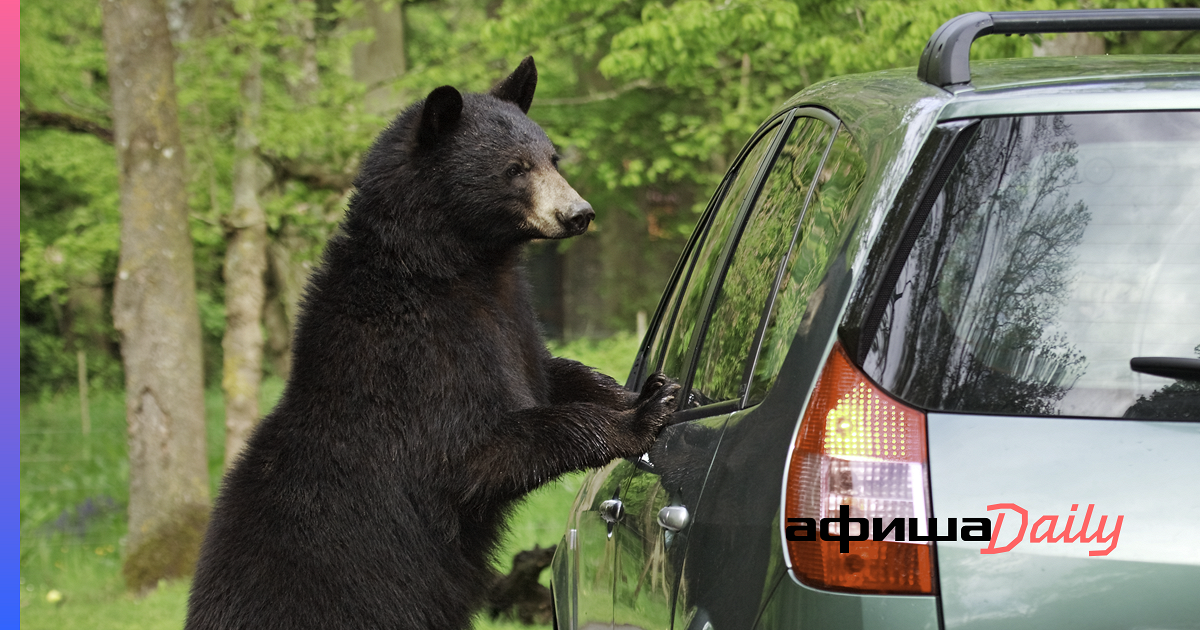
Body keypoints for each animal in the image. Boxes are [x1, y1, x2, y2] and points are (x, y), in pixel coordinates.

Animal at [185, 56, 680, 630]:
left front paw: (651, 389)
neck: (457, 267)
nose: (579, 213)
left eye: (552, 157)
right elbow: (476, 450)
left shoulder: (512, 321)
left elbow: (552, 372)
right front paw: (638, 418)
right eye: (515, 168)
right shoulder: (415, 356)